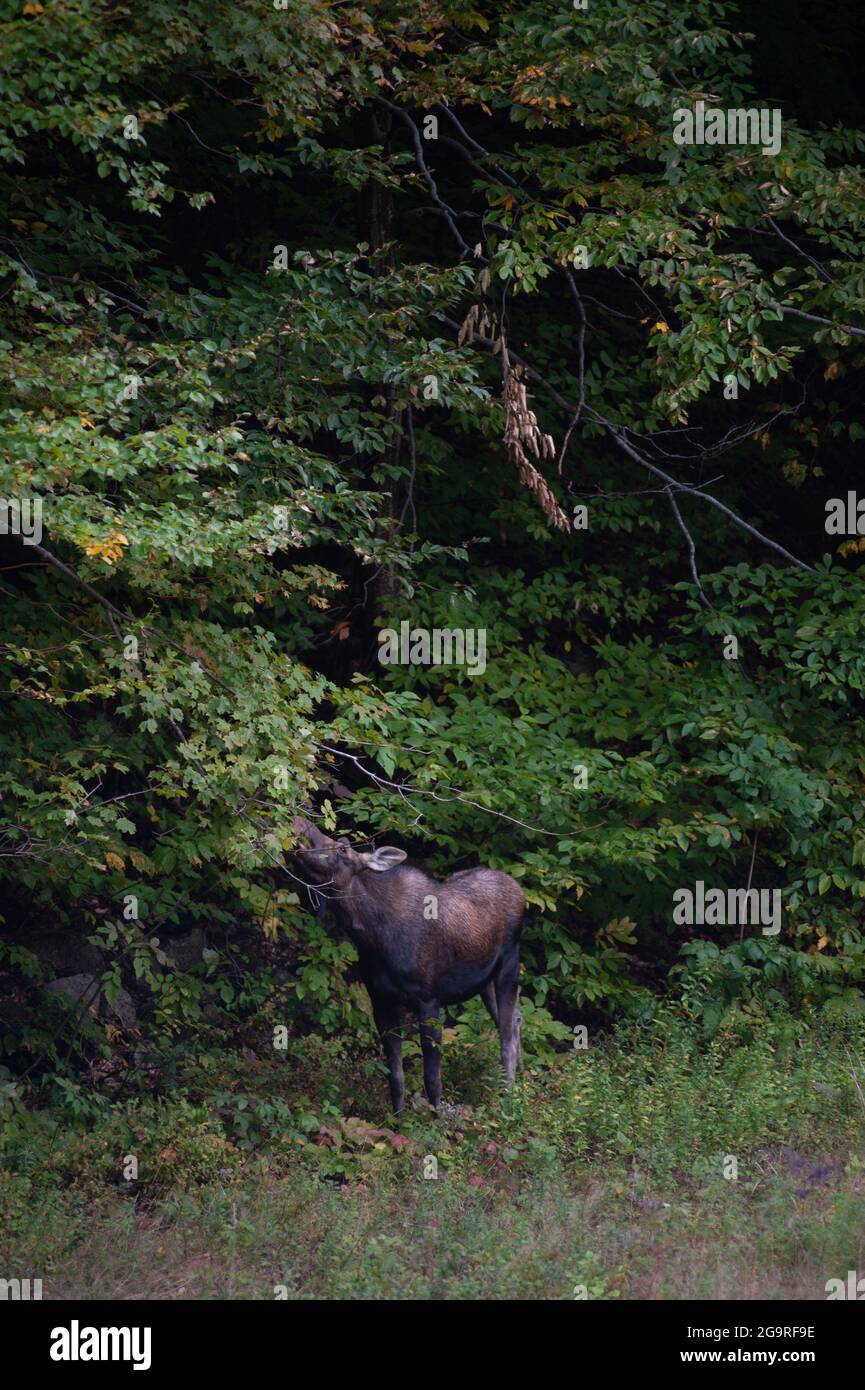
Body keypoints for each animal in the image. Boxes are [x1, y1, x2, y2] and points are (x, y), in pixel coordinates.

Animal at [292, 811, 525, 1117]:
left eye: (342, 849)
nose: (300, 823)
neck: (371, 936)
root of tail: (520, 891)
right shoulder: (381, 1001)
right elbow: (395, 1075)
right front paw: (398, 1119)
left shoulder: (428, 1000)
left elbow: (432, 1076)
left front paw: (436, 1119)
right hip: (484, 981)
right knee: (515, 1020)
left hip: (509, 966)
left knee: (507, 1034)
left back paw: (507, 1100)